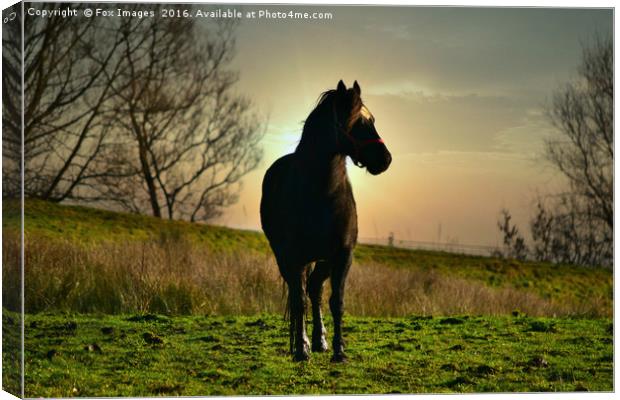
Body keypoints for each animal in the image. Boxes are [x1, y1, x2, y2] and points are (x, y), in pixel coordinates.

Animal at [260, 79, 390, 360]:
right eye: (356, 122)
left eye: (372, 119)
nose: (385, 159)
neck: (322, 193)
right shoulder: (294, 257)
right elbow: (298, 301)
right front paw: (301, 350)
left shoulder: (342, 255)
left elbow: (336, 302)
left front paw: (340, 351)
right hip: (286, 258)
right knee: (302, 293)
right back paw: (306, 343)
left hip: (323, 260)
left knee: (315, 289)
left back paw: (321, 340)